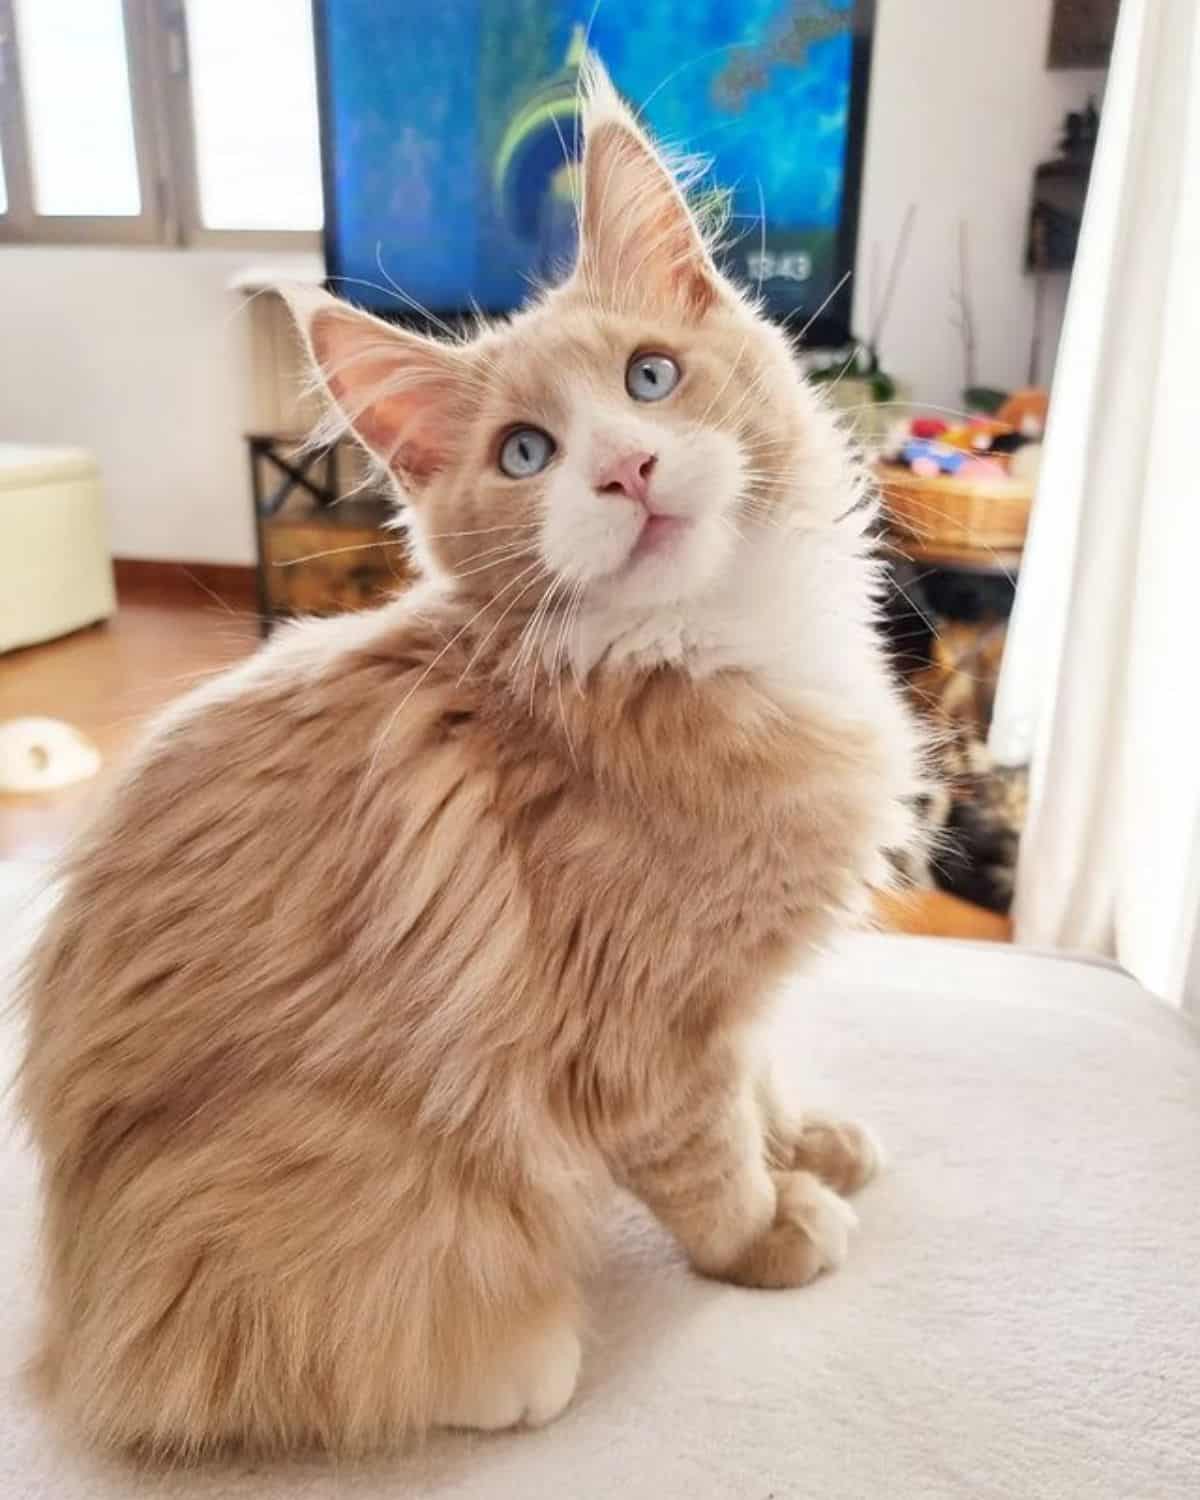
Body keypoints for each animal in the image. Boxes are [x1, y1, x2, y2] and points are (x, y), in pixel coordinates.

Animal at [16, 64, 918, 1458]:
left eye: (651, 378)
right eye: (526, 455)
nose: (627, 468)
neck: (705, 648)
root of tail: (75, 1323)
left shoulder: (733, 991)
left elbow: (760, 1081)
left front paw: (806, 1142)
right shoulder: (645, 1028)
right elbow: (706, 1156)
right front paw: (767, 1232)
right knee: (261, 1369)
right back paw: (510, 1368)